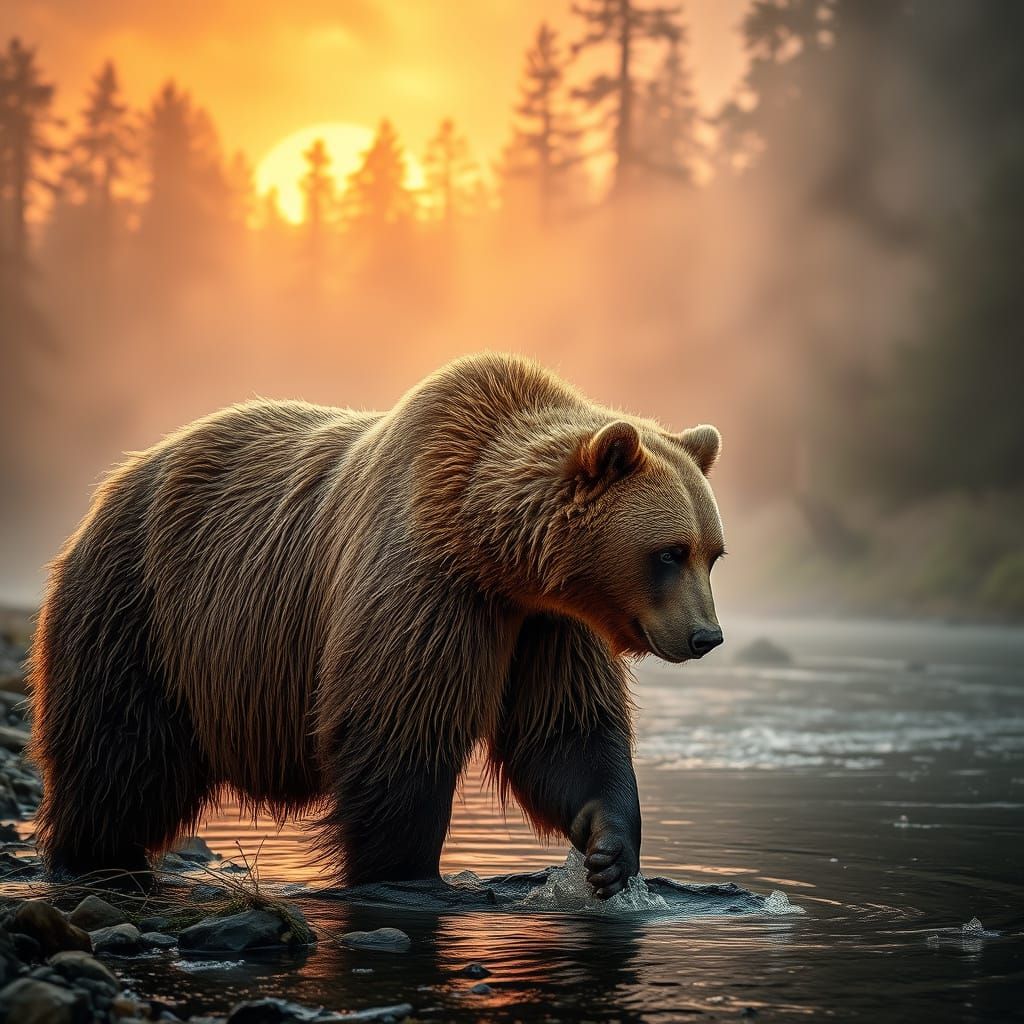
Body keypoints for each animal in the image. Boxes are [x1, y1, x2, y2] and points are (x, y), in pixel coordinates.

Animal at [28, 353, 724, 898]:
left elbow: (563, 731)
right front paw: (406, 873)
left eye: (712, 552)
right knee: (119, 751)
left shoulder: (546, 623)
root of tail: (118, 479)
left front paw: (609, 852)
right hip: (139, 608)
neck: (491, 551)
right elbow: (397, 730)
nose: (705, 636)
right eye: (668, 552)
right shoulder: (423, 587)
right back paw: (98, 859)